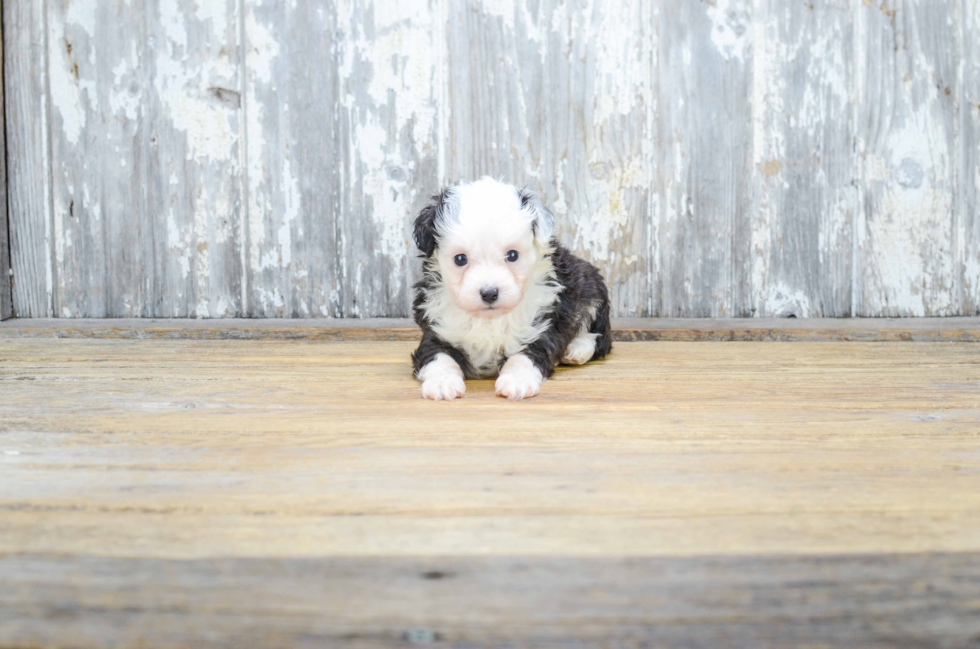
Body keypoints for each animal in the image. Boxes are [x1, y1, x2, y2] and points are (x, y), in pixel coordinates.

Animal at [408, 177, 608, 400]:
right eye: (460, 259)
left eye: (512, 255)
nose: (489, 293)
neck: (488, 319)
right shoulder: (437, 328)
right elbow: (438, 356)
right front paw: (442, 382)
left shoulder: (541, 325)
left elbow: (524, 355)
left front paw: (517, 381)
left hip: (590, 288)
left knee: (599, 337)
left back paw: (576, 349)